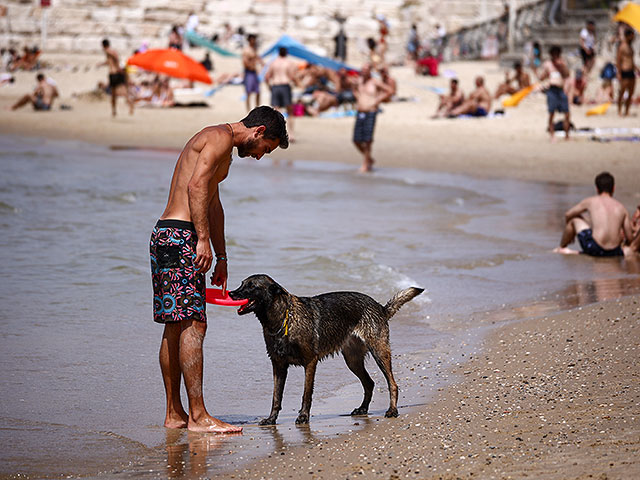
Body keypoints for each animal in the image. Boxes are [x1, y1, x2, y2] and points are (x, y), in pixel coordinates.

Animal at [228, 274, 422, 424]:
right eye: (242, 283)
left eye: (252, 286)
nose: (230, 293)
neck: (283, 319)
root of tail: (380, 307)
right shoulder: (278, 366)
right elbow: (276, 396)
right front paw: (271, 419)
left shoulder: (310, 362)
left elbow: (306, 394)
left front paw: (303, 416)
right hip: (352, 360)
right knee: (369, 383)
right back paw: (362, 409)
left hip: (379, 352)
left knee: (392, 383)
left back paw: (392, 410)